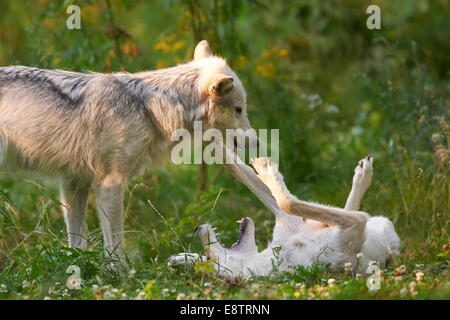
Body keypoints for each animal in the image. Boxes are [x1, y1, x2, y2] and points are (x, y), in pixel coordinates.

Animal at [0, 40, 258, 260]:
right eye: (238, 109)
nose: (256, 142)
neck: (149, 109)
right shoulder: (110, 184)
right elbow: (116, 246)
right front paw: (120, 276)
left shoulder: (75, 183)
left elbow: (78, 243)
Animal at [171, 157, 400, 278]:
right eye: (209, 257)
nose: (196, 228)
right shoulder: (353, 227)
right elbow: (287, 201)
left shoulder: (288, 221)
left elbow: (236, 167)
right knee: (353, 213)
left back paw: (363, 172)